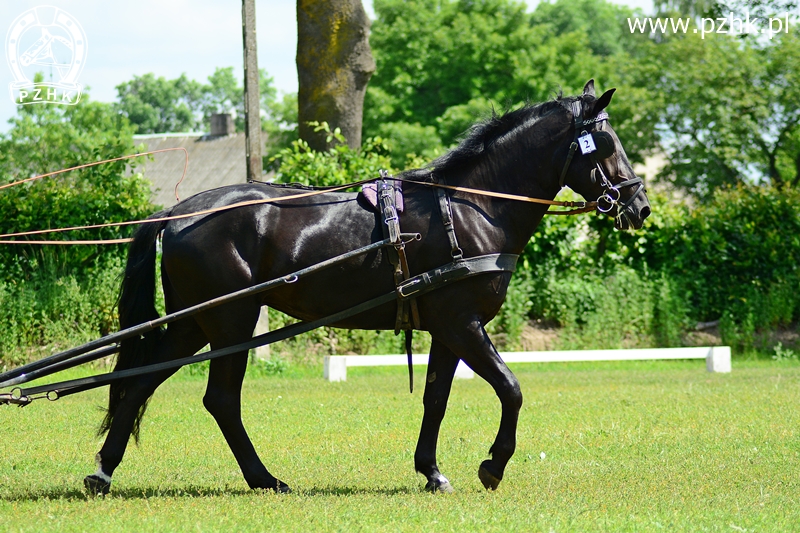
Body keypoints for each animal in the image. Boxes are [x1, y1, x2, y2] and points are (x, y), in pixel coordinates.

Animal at [86, 80, 648, 494]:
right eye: (606, 144)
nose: (639, 206)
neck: (470, 208)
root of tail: (177, 212)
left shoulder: (447, 330)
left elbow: (436, 400)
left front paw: (432, 472)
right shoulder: (462, 323)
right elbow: (511, 388)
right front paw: (493, 466)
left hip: (195, 323)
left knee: (141, 383)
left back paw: (103, 471)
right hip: (230, 321)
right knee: (221, 399)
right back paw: (264, 479)